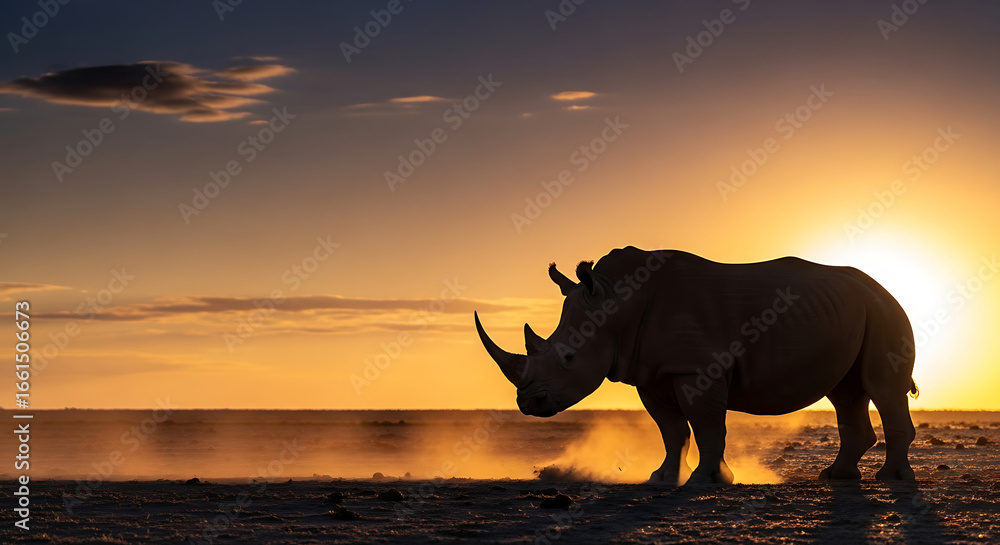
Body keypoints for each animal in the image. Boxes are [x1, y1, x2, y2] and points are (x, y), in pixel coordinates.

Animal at [474, 246, 918, 484]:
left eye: (568, 358)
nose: (527, 404)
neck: (617, 304)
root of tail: (882, 286)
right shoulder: (651, 373)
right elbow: (672, 430)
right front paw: (663, 478)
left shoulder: (697, 368)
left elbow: (706, 425)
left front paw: (709, 480)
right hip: (854, 311)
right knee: (846, 394)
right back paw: (837, 477)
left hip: (885, 311)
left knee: (882, 388)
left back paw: (892, 481)